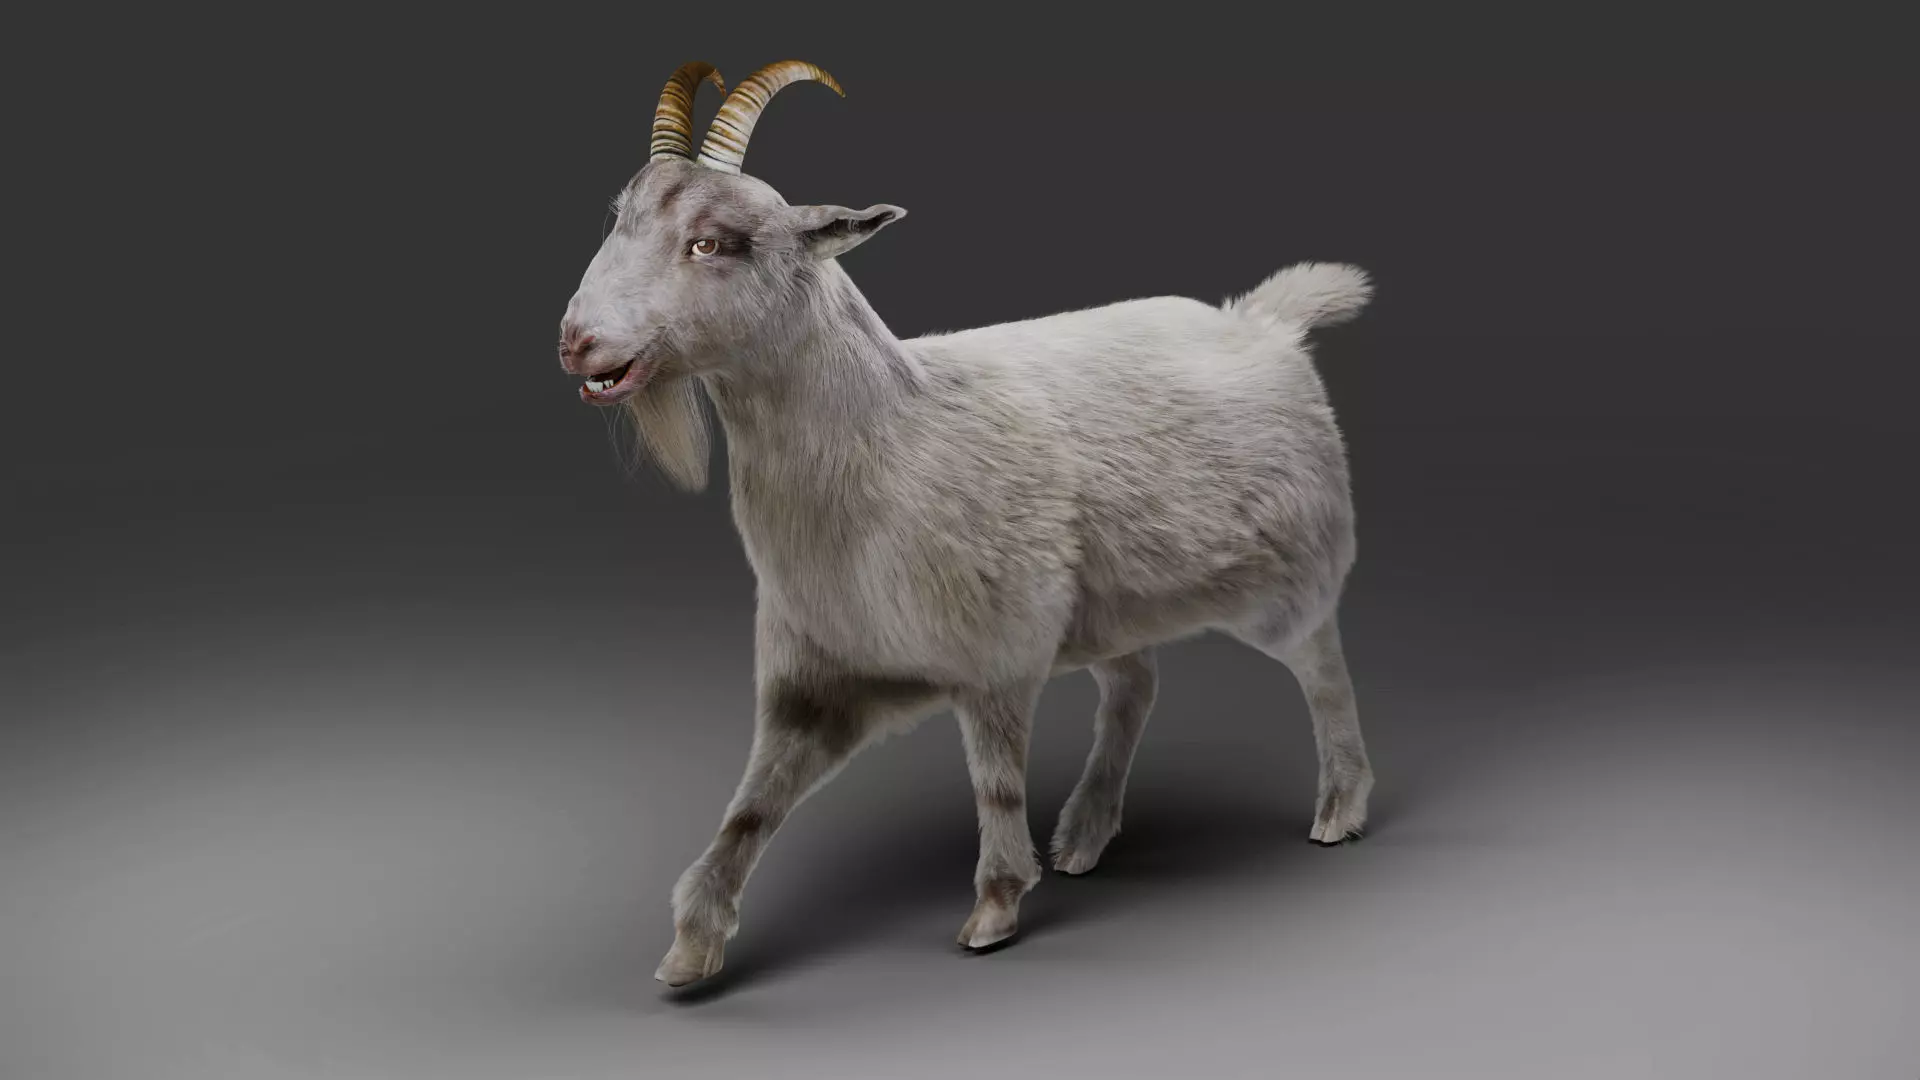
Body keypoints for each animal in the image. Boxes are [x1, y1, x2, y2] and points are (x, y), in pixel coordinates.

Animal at [557, 60, 1377, 988]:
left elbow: (995, 781)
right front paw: (690, 949)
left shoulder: (996, 656)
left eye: (713, 243)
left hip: (1290, 574)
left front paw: (994, 907)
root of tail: (1265, 321)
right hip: (1109, 606)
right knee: (1135, 686)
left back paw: (1340, 808)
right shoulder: (815, 679)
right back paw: (1086, 833)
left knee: (1323, 670)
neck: (893, 430)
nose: (577, 342)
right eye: (619, 219)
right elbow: (748, 812)